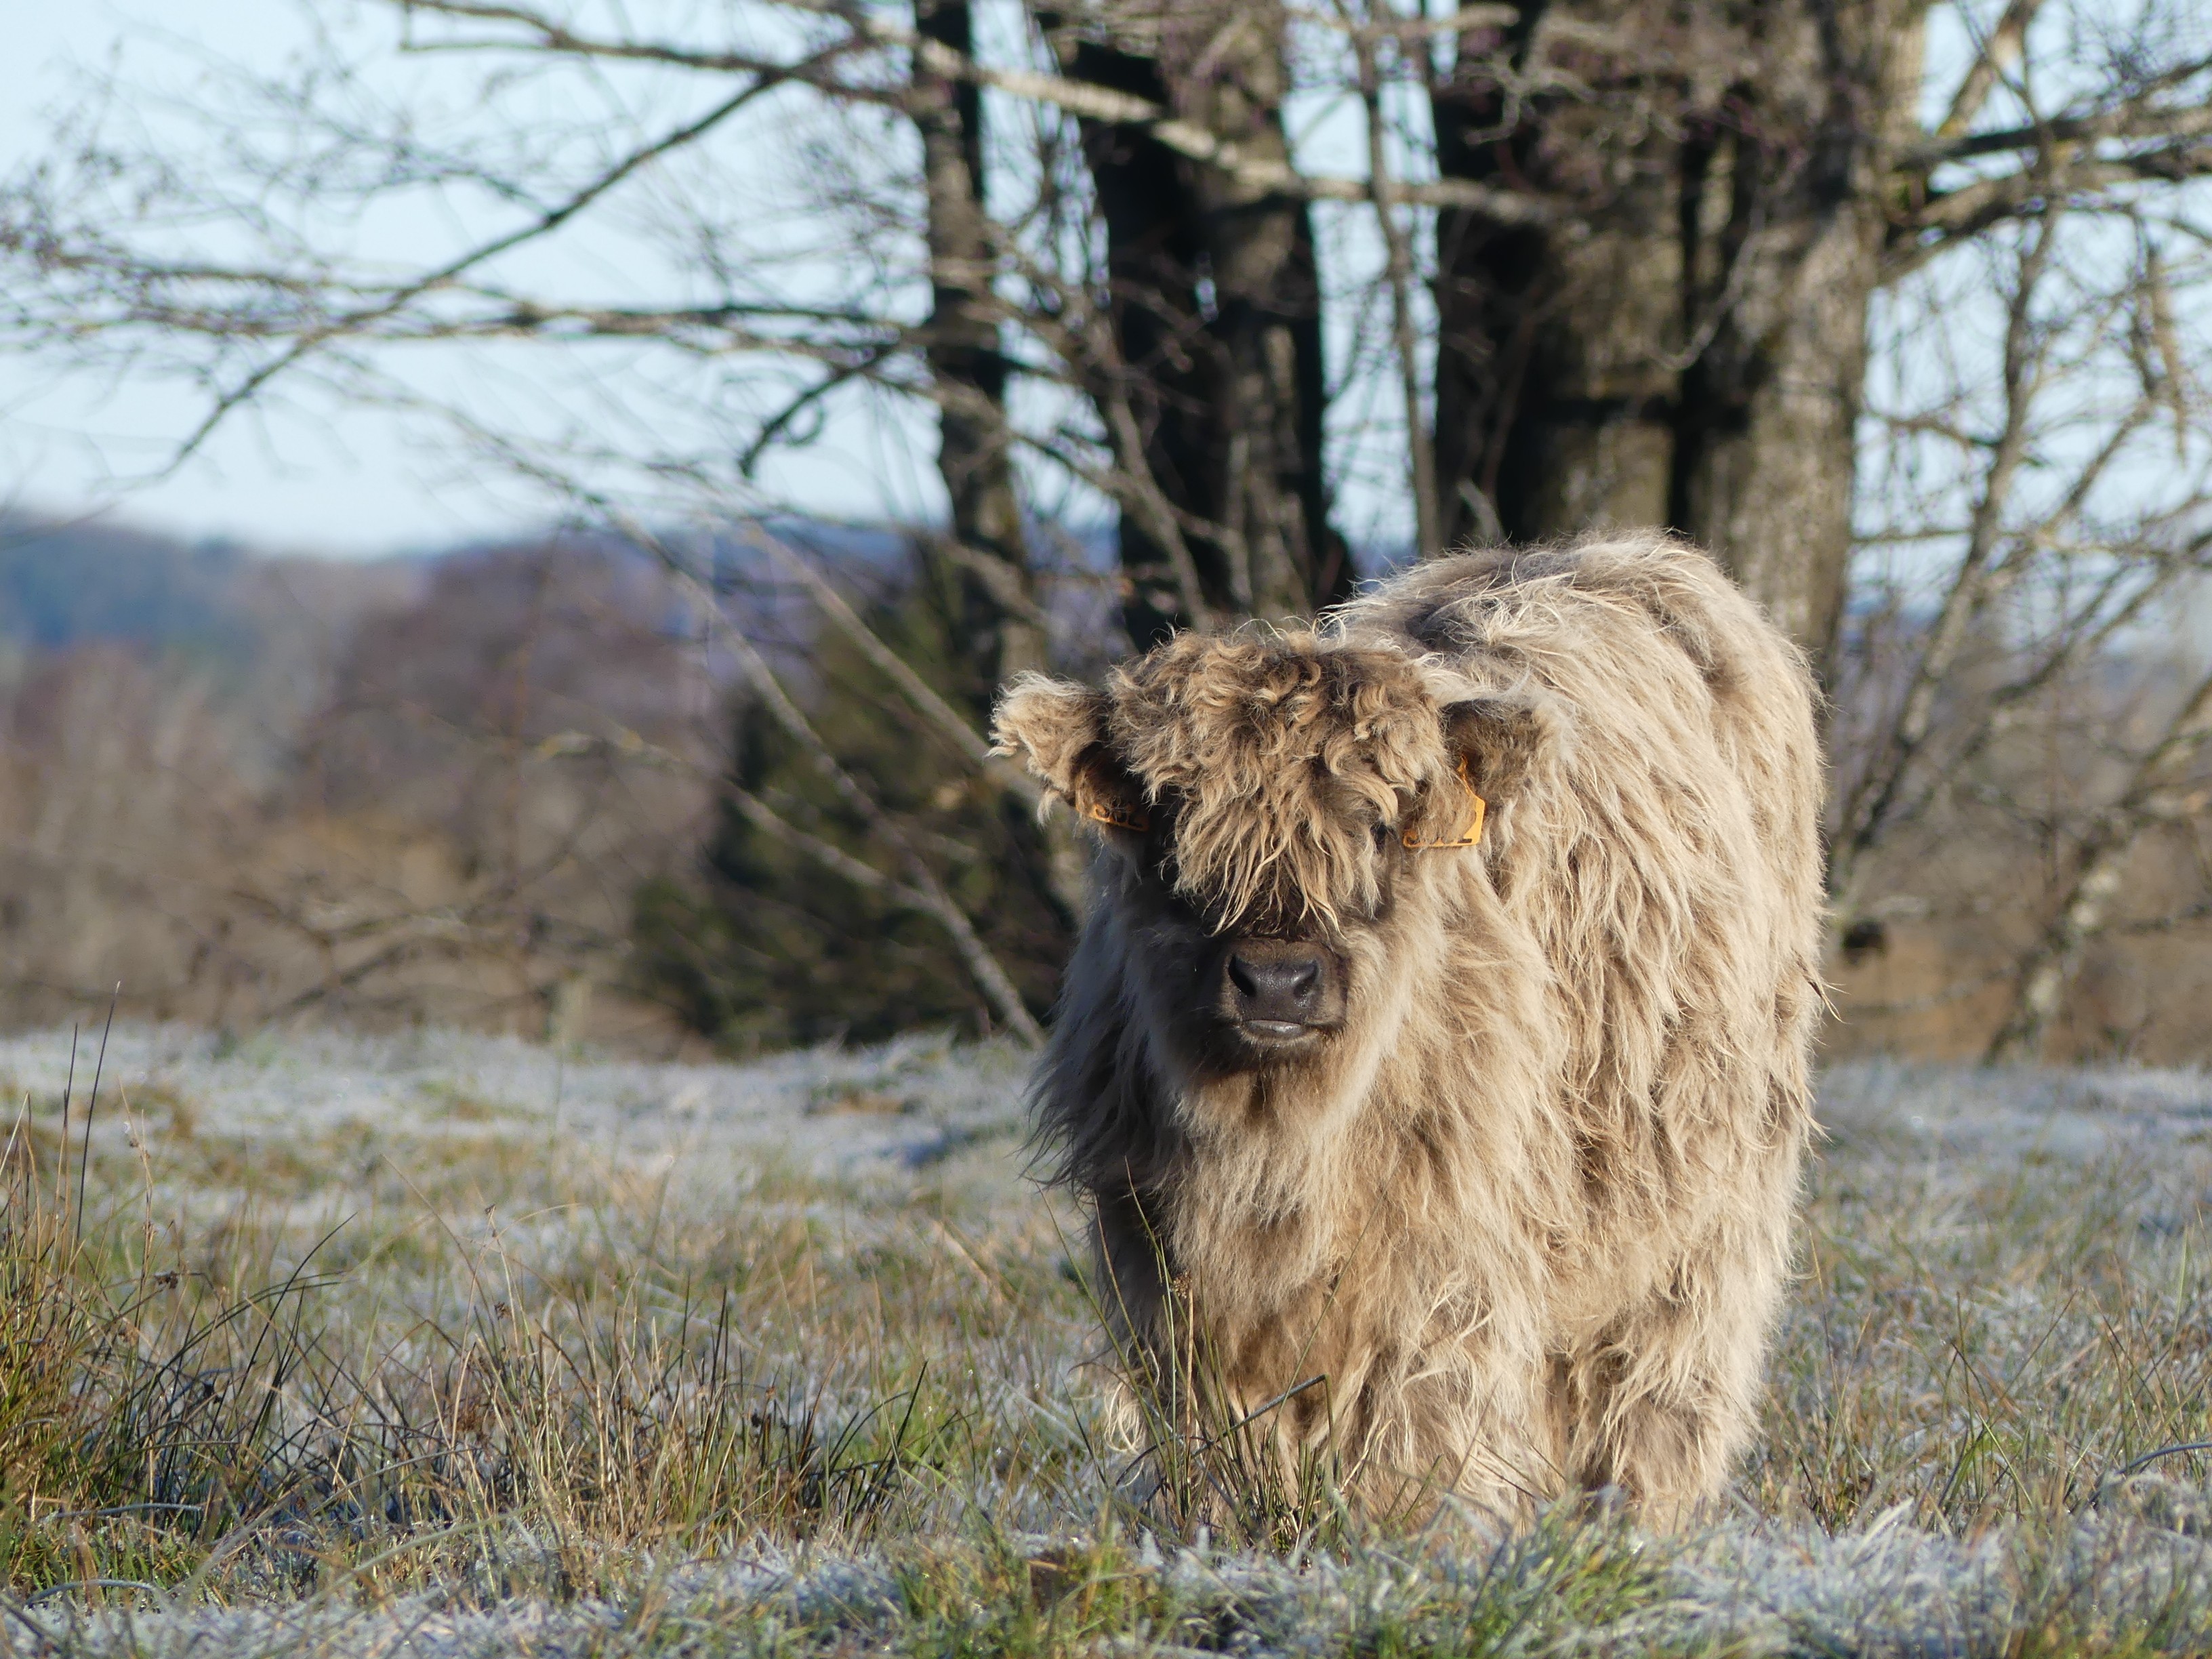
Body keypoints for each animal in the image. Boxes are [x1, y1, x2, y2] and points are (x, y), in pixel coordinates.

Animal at [995, 539, 1822, 1530]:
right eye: (1170, 823)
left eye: (1384, 827)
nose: (1277, 979)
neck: (1278, 1156)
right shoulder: (1157, 1256)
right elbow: (1224, 1431)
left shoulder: (1450, 1250)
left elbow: (1417, 1426)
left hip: (1711, 1209)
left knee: (1659, 1388)